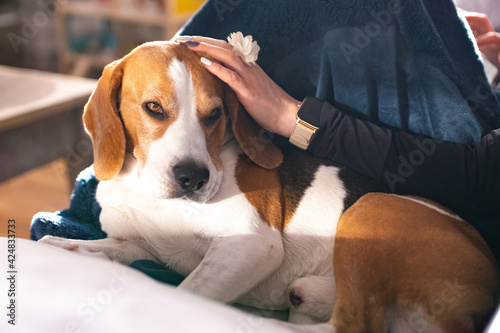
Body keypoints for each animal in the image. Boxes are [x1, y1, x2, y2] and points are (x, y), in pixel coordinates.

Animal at [41, 42, 498, 332]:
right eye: (153, 108)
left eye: (215, 114)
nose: (194, 178)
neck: (146, 188)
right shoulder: (139, 245)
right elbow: (89, 249)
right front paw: (62, 247)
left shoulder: (251, 246)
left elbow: (188, 293)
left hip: (370, 208)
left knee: (353, 325)